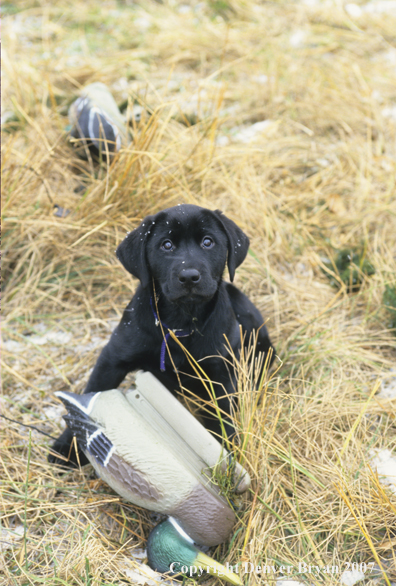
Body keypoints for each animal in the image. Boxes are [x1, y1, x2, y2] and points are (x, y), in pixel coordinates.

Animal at [49, 203, 274, 464]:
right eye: (166, 245)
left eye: (208, 242)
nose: (189, 276)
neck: (179, 324)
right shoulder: (113, 357)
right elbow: (93, 392)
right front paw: (69, 446)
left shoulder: (221, 372)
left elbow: (223, 415)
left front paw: (227, 454)